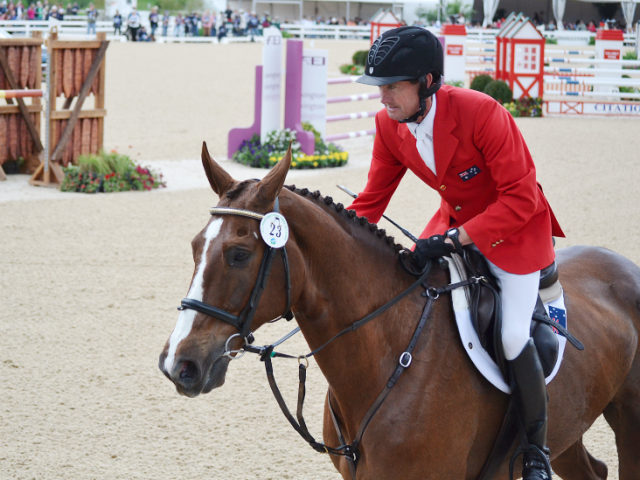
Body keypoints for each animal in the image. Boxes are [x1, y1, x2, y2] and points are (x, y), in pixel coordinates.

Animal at [158, 144, 640, 478]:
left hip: (627, 422)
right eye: (195, 246)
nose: (179, 364)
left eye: (239, 255)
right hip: (568, 424)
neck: (388, 355)